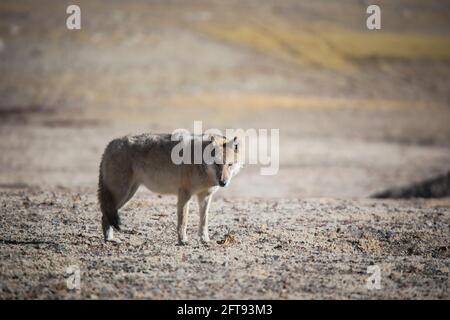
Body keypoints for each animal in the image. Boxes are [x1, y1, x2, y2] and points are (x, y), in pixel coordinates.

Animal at [96, 132, 241, 245]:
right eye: (217, 164)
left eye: (229, 165)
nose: (223, 182)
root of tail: (110, 144)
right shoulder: (184, 194)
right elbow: (183, 221)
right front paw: (183, 241)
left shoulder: (204, 197)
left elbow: (204, 221)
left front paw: (204, 240)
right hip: (122, 194)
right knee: (105, 215)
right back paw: (109, 239)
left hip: (129, 193)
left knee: (105, 215)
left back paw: (110, 239)